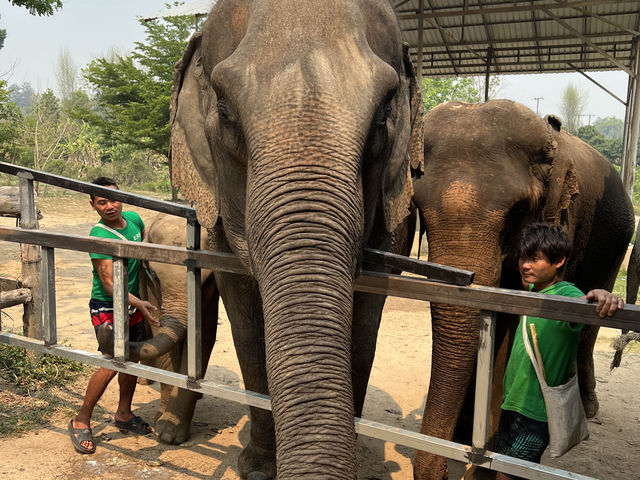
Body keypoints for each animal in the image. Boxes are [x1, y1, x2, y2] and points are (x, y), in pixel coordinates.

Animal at [410, 99, 636, 478]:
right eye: (417, 209)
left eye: (518, 211)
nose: (444, 470)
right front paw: (464, 439)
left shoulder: (565, 217)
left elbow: (511, 328)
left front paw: (486, 462)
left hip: (617, 246)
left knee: (589, 326)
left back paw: (589, 409)